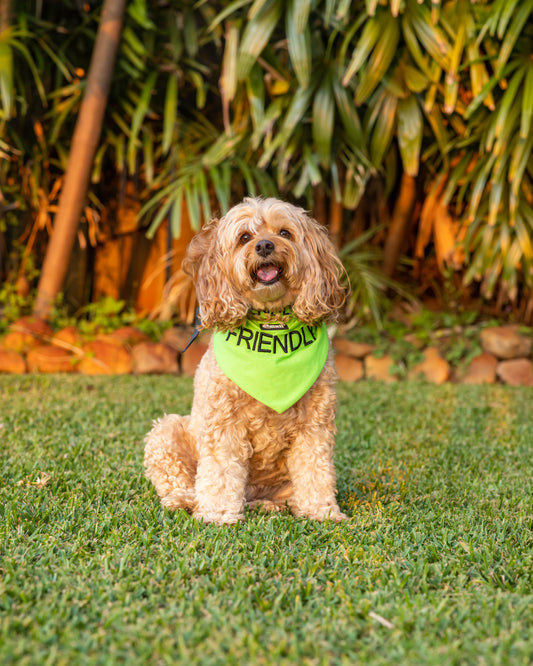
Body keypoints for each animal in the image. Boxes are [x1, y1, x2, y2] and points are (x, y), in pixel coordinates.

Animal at [143, 197, 348, 524]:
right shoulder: (222, 423)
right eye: (244, 237)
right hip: (167, 431)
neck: (272, 324)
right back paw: (184, 500)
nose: (264, 245)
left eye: (284, 233)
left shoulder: (314, 424)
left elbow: (315, 468)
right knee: (177, 478)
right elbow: (220, 471)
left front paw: (321, 511)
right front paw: (217, 514)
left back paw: (270, 505)